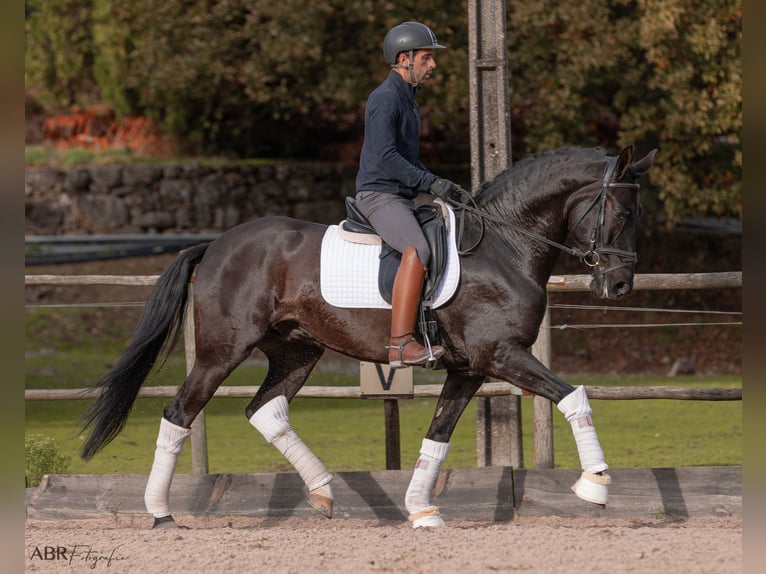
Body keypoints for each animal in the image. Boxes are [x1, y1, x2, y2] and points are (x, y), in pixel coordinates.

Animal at [82, 145, 660, 532]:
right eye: (623, 212)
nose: (621, 286)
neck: (506, 245)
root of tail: (217, 244)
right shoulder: (501, 356)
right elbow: (575, 395)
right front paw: (595, 486)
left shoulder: (469, 369)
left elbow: (438, 436)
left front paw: (422, 510)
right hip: (223, 352)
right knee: (179, 413)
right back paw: (161, 513)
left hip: (297, 351)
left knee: (265, 411)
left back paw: (323, 493)